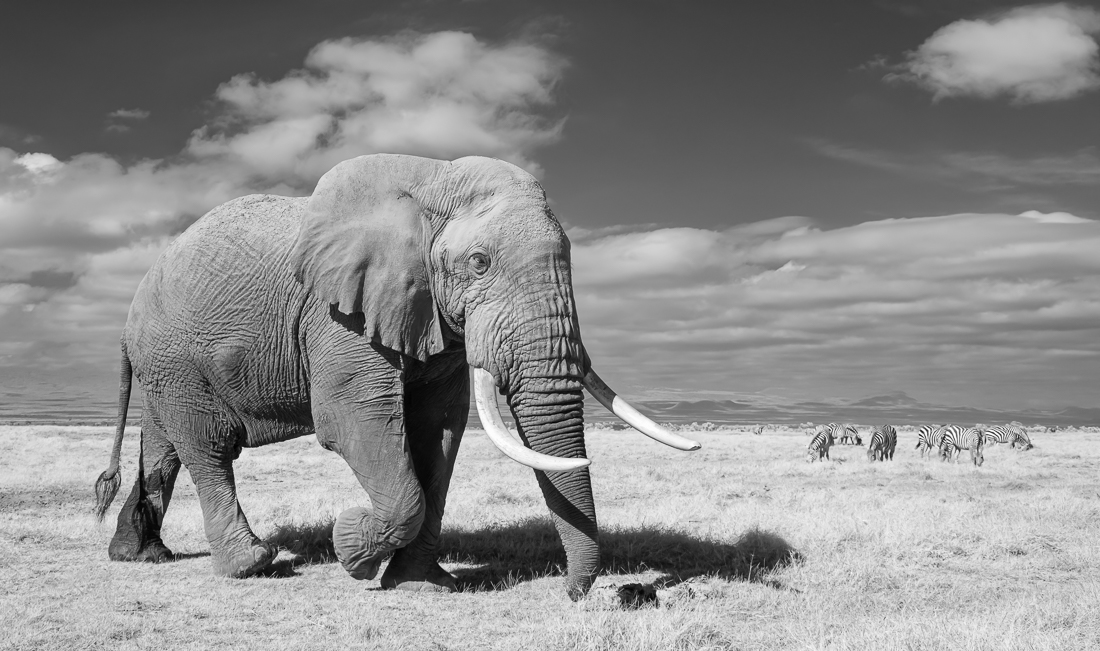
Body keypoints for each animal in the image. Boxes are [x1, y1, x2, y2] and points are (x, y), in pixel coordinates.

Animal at [92, 154, 700, 601]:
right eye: (479, 263)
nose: (579, 594)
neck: (432, 179)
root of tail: (127, 317)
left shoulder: (431, 315)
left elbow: (438, 430)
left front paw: (422, 585)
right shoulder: (337, 312)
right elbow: (354, 421)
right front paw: (350, 549)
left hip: (165, 365)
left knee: (165, 445)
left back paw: (140, 556)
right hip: (175, 357)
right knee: (208, 447)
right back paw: (253, 564)